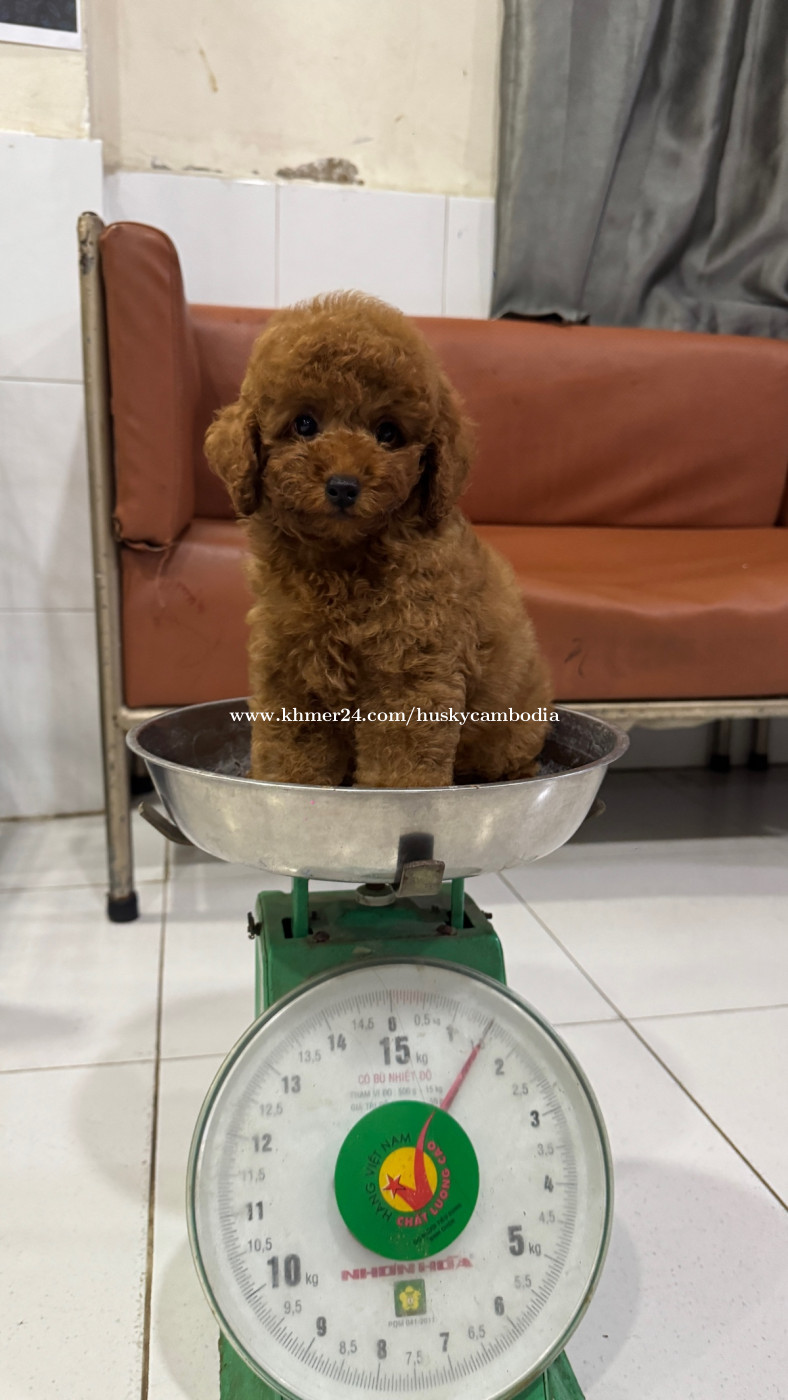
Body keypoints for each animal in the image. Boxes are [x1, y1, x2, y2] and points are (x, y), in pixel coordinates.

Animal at [205, 291, 552, 788]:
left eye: (388, 433)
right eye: (304, 424)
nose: (343, 486)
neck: (342, 561)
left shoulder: (410, 672)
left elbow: (400, 759)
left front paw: (397, 793)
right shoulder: (290, 668)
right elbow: (292, 748)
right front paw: (284, 786)